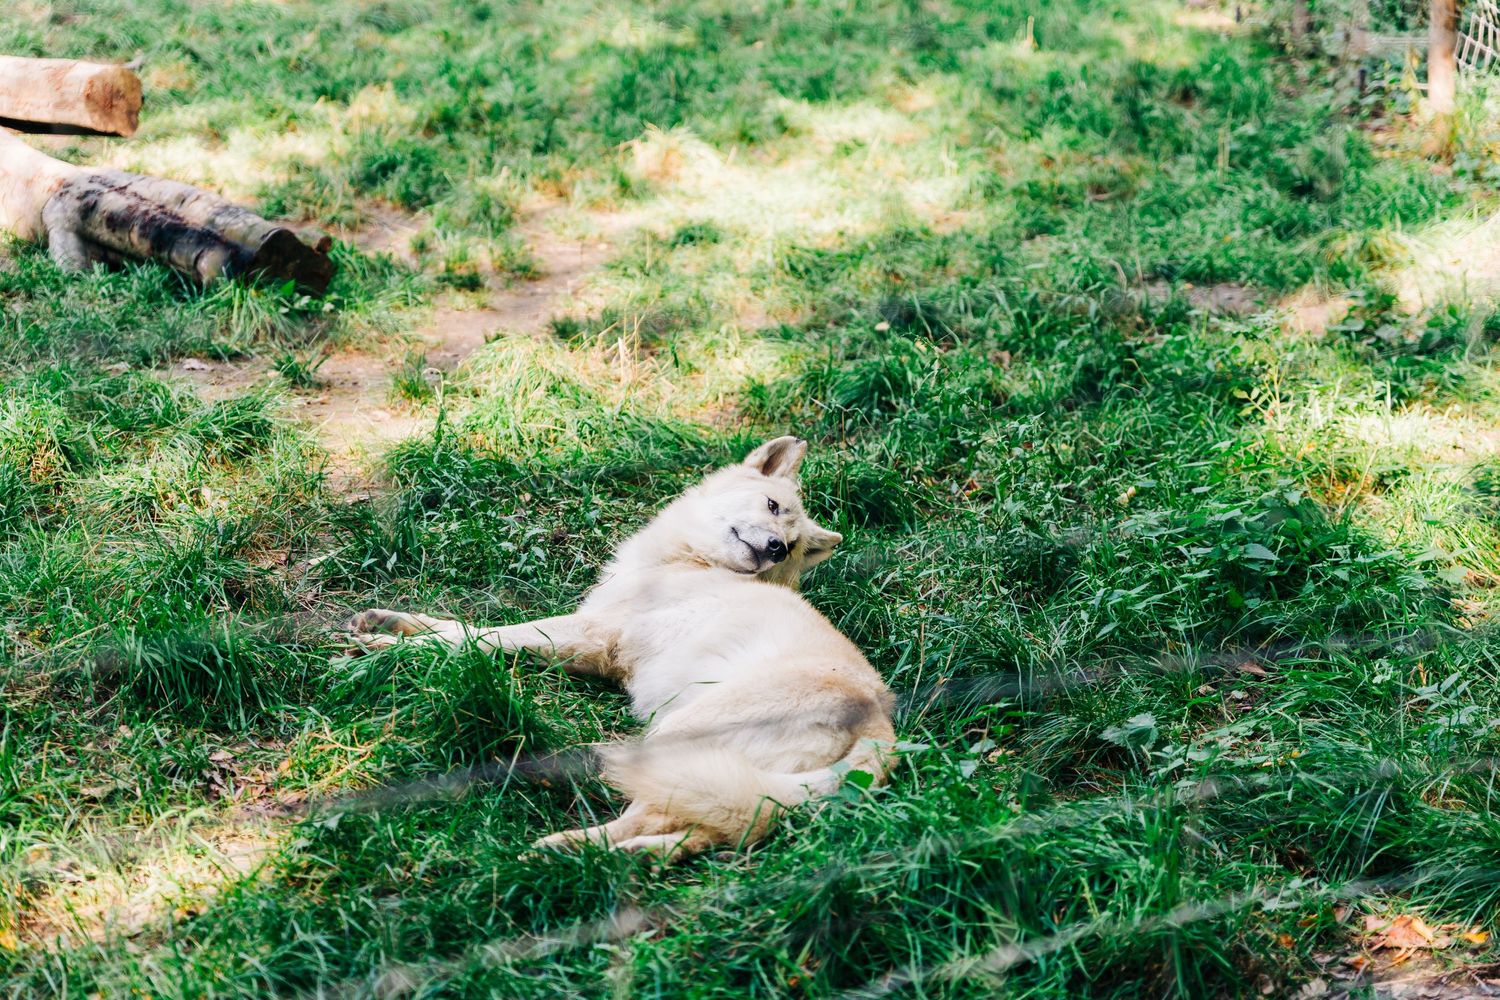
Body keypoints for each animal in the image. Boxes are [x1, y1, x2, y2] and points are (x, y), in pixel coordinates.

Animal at [344, 436, 896, 863]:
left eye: (794, 544)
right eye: (774, 509)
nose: (777, 549)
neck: (690, 564)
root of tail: (881, 729)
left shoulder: (588, 634)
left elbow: (473, 638)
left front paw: (385, 651)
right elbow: (461, 626)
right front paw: (388, 623)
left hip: (675, 735)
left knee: (660, 814)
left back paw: (565, 850)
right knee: (723, 827)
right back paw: (633, 858)